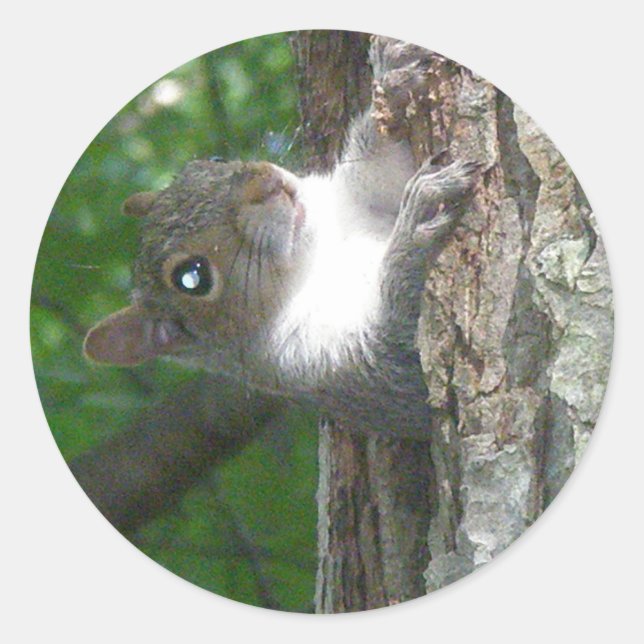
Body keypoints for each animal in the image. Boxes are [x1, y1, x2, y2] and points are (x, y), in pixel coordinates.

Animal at [83, 37, 479, 438]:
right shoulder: (336, 371)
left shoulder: (360, 200)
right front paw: (417, 228)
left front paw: (392, 80)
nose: (266, 184)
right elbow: (401, 356)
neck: (316, 253)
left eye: (211, 161)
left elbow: (380, 170)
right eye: (192, 277)